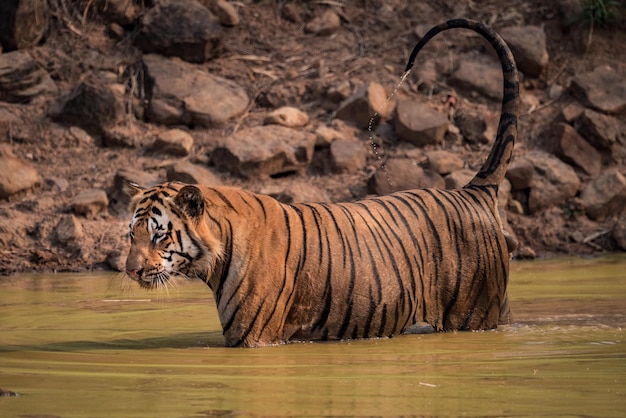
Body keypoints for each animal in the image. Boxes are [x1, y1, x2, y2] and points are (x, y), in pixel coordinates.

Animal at [120, 18, 516, 348]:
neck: (216, 255)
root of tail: (472, 191)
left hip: (475, 313)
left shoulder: (255, 339)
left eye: (159, 235)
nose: (130, 271)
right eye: (131, 235)